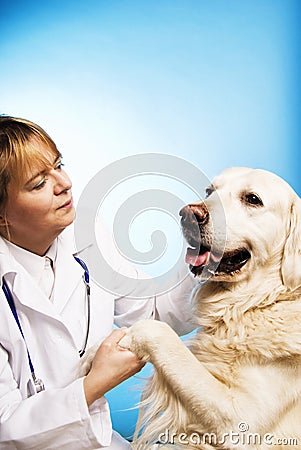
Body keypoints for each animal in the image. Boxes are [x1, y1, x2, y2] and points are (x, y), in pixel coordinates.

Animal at [118, 168, 300, 450]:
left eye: (252, 199)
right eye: (209, 191)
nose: (188, 214)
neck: (260, 302)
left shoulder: (241, 422)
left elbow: (159, 332)